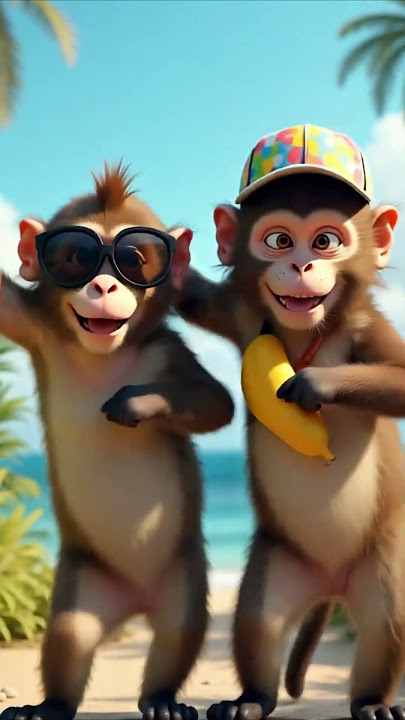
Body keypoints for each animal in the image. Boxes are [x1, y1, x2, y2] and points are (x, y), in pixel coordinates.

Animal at [0, 162, 235, 720]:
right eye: (73, 256)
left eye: (136, 260)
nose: (105, 284)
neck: (103, 355)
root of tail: (135, 600)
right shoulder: (39, 332)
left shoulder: (164, 347)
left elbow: (218, 403)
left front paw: (134, 404)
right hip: (89, 581)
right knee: (71, 633)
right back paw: (52, 705)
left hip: (180, 577)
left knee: (179, 629)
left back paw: (161, 699)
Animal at [174, 124, 405, 720]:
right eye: (279, 241)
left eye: (324, 241)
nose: (301, 266)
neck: (306, 333)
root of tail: (330, 582)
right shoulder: (242, 315)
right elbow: (199, 300)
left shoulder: (367, 325)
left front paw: (313, 385)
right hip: (282, 561)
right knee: (259, 619)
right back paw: (252, 698)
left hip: (379, 561)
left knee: (385, 622)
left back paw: (372, 700)